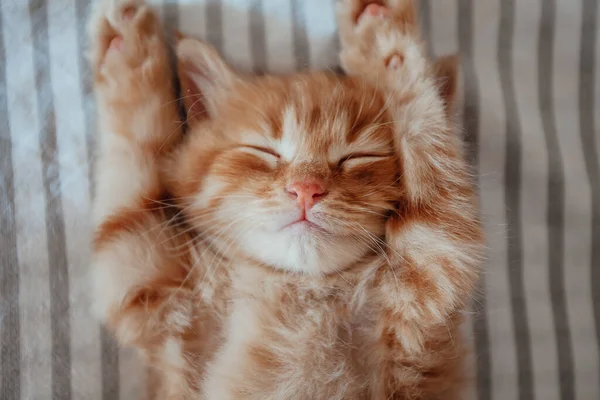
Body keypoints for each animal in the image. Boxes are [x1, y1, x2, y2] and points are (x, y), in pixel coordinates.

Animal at [88, 1, 482, 398]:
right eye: (265, 151)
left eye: (358, 156)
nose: (306, 188)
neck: (302, 289)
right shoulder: (148, 282)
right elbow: (134, 156)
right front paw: (127, 45)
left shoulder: (435, 266)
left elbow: (420, 117)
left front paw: (378, 27)